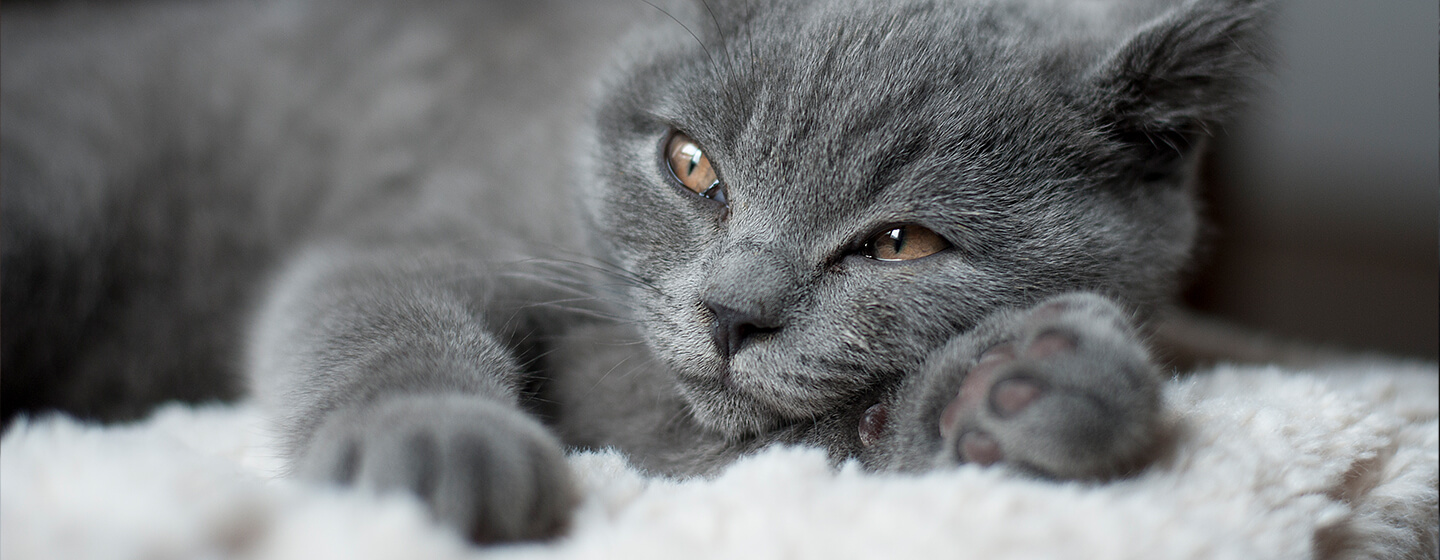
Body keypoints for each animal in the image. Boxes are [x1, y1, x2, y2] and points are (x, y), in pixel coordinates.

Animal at [0, 0, 1267, 544]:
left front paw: (1009, 387)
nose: (732, 312)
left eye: (900, 243)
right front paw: (436, 449)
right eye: (692, 164)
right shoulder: (423, 223)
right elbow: (380, 317)